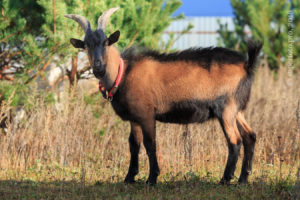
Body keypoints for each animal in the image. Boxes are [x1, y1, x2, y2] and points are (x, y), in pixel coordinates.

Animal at [65, 7, 262, 186]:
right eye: (86, 45)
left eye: (106, 42)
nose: (98, 67)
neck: (124, 73)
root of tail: (246, 65)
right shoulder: (134, 118)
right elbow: (133, 145)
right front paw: (129, 178)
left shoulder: (146, 114)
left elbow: (150, 144)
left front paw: (152, 179)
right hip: (237, 110)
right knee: (250, 136)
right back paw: (243, 179)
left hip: (226, 109)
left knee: (235, 141)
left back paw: (225, 179)